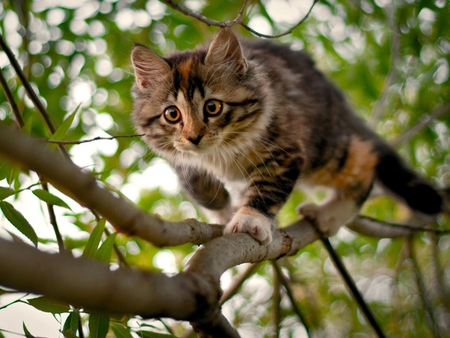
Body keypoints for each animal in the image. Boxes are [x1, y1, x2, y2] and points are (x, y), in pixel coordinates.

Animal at [129, 27, 442, 244]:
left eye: (212, 107)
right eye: (172, 114)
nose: (194, 137)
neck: (219, 152)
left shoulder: (285, 151)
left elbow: (266, 190)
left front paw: (248, 219)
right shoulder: (184, 161)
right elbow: (198, 187)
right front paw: (223, 211)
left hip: (325, 150)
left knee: (365, 163)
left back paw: (328, 217)